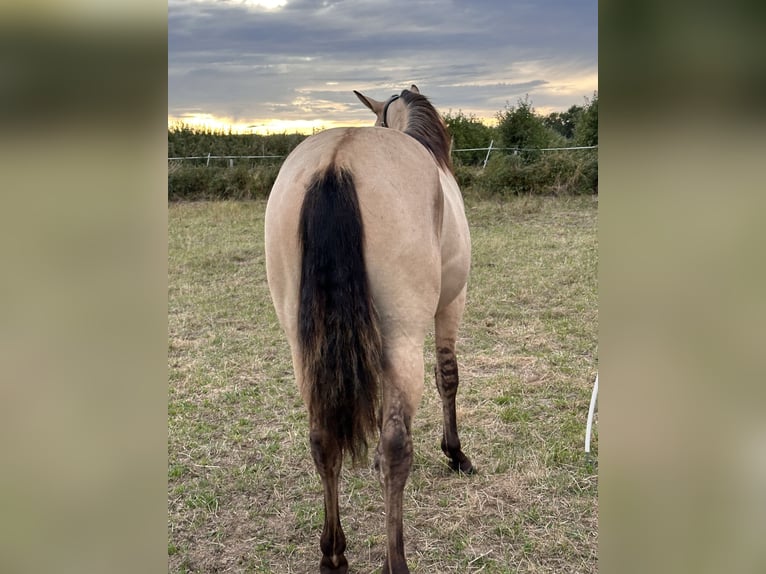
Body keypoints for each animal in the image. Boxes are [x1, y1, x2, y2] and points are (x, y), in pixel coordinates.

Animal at [264, 85, 473, 574]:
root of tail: (337, 160)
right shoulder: (451, 304)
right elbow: (448, 378)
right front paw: (455, 453)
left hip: (305, 348)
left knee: (322, 440)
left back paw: (333, 555)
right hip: (403, 339)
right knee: (396, 448)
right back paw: (396, 562)